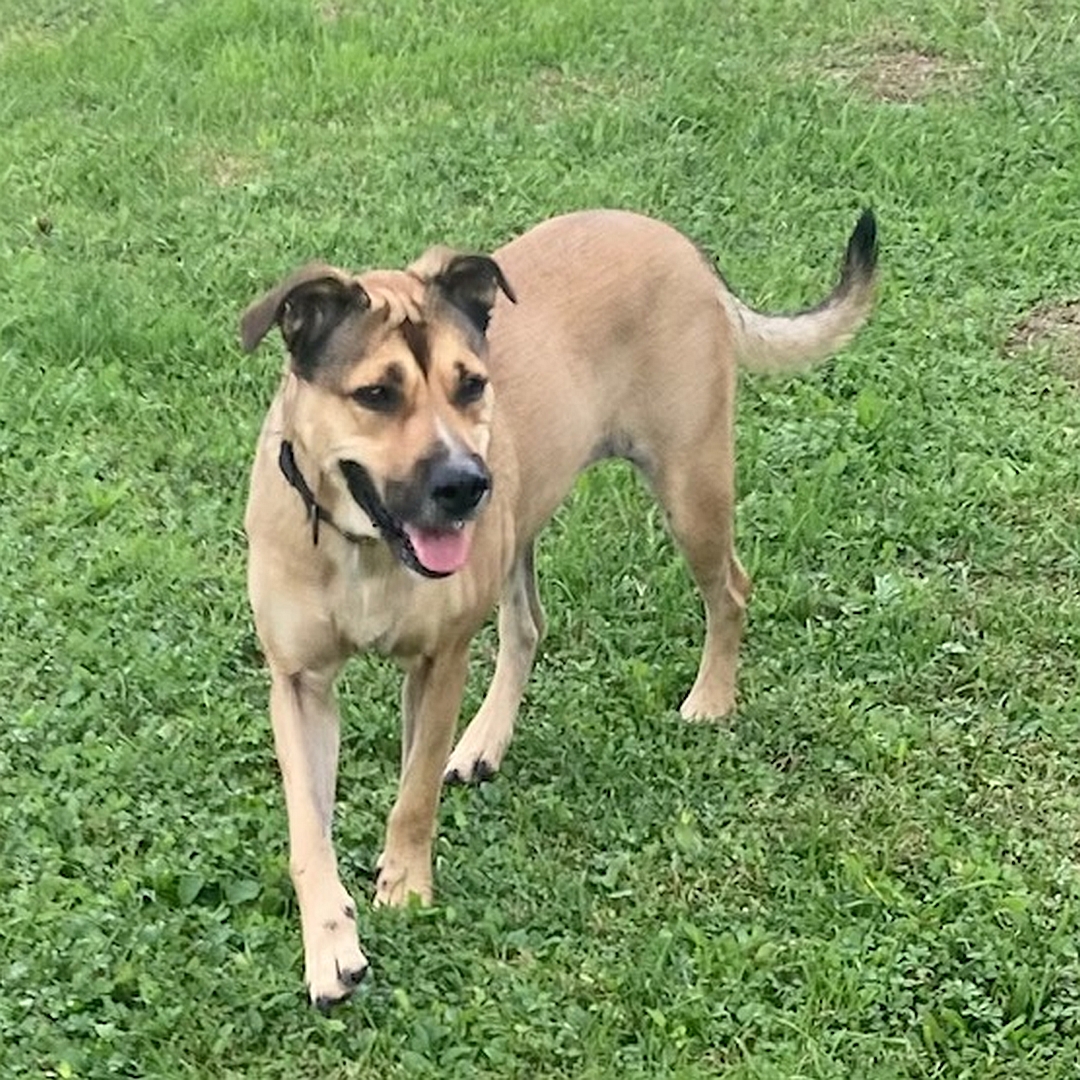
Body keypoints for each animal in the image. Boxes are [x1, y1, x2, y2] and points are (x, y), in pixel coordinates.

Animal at [238, 208, 876, 1002]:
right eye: (377, 394)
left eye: (471, 385)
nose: (463, 484)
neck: (363, 548)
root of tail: (676, 242)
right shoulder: (298, 684)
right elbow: (308, 830)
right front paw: (330, 943)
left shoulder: (439, 660)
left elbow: (413, 792)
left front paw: (405, 884)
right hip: (520, 514)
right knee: (528, 626)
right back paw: (483, 743)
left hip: (688, 484)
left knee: (729, 589)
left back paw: (711, 698)